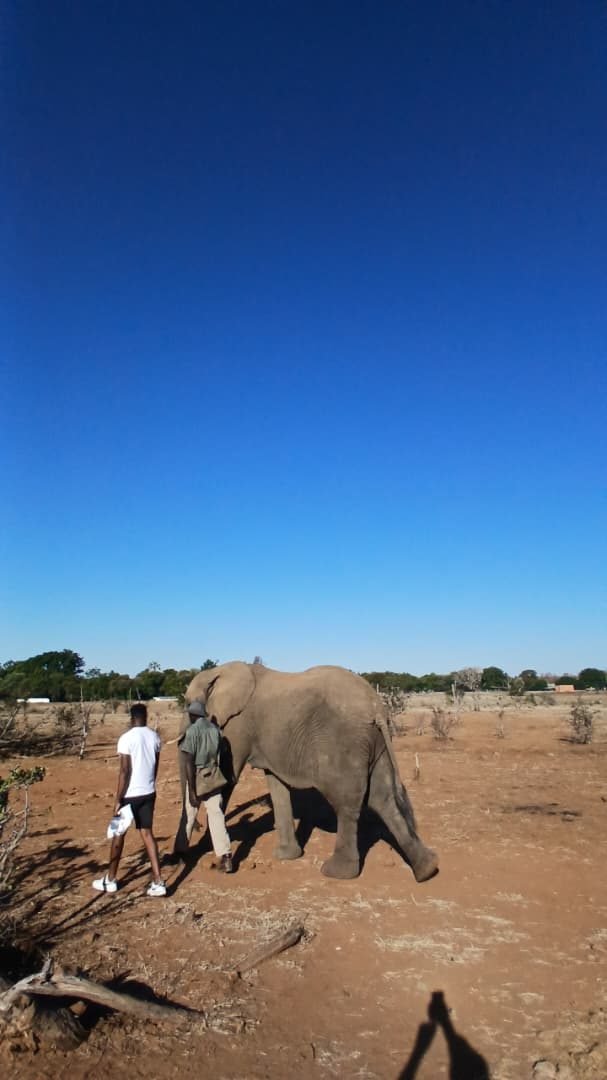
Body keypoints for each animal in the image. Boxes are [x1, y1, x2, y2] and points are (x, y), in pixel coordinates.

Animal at [173, 661, 438, 882]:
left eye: (187, 705)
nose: (181, 856)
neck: (220, 671)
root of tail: (377, 708)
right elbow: (276, 783)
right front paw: (285, 856)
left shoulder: (237, 726)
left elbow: (228, 779)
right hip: (376, 743)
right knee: (383, 799)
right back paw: (427, 870)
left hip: (344, 743)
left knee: (346, 803)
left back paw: (336, 873)